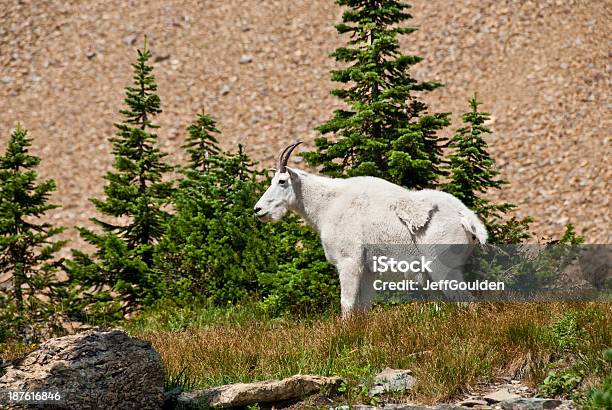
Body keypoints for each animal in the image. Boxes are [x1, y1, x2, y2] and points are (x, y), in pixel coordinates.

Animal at [253, 141, 488, 314]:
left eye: (282, 181)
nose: (258, 209)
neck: (327, 204)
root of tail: (466, 218)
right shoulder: (367, 270)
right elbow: (363, 306)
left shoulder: (349, 261)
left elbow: (347, 303)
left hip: (443, 267)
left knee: (467, 301)